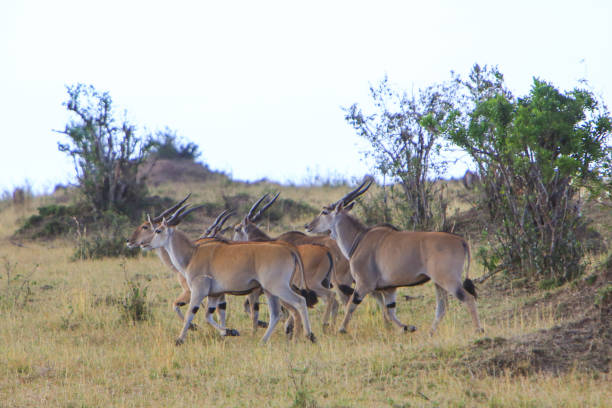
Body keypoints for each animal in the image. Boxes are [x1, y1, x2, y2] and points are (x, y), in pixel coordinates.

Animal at [145, 204, 316, 344]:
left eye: (158, 230)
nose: (146, 244)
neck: (192, 254)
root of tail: (287, 248)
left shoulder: (198, 291)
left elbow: (190, 313)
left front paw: (179, 339)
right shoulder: (214, 294)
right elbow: (208, 316)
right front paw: (230, 331)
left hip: (278, 288)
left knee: (299, 301)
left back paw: (309, 335)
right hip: (270, 291)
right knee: (276, 313)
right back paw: (264, 340)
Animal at [234, 193, 340, 330]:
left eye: (236, 229)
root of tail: (326, 250)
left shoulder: (258, 291)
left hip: (314, 285)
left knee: (331, 296)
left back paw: (323, 324)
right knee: (334, 302)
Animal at [306, 178, 482, 334]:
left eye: (324, 212)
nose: (308, 226)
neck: (359, 238)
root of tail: (460, 241)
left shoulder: (363, 284)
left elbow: (351, 305)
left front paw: (341, 329)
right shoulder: (389, 289)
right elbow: (390, 312)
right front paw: (408, 327)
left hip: (448, 280)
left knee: (468, 298)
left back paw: (478, 330)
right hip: (439, 283)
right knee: (442, 307)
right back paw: (431, 333)